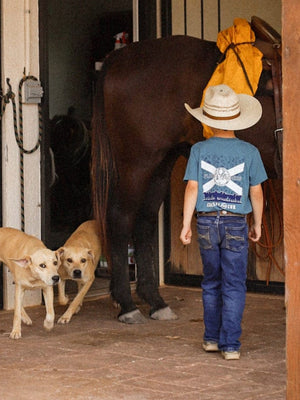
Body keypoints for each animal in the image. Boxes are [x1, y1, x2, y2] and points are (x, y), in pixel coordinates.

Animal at [91, 22, 282, 322]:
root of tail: (119, 59)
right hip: (137, 163)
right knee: (121, 218)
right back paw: (127, 304)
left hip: (160, 164)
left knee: (144, 221)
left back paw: (155, 300)